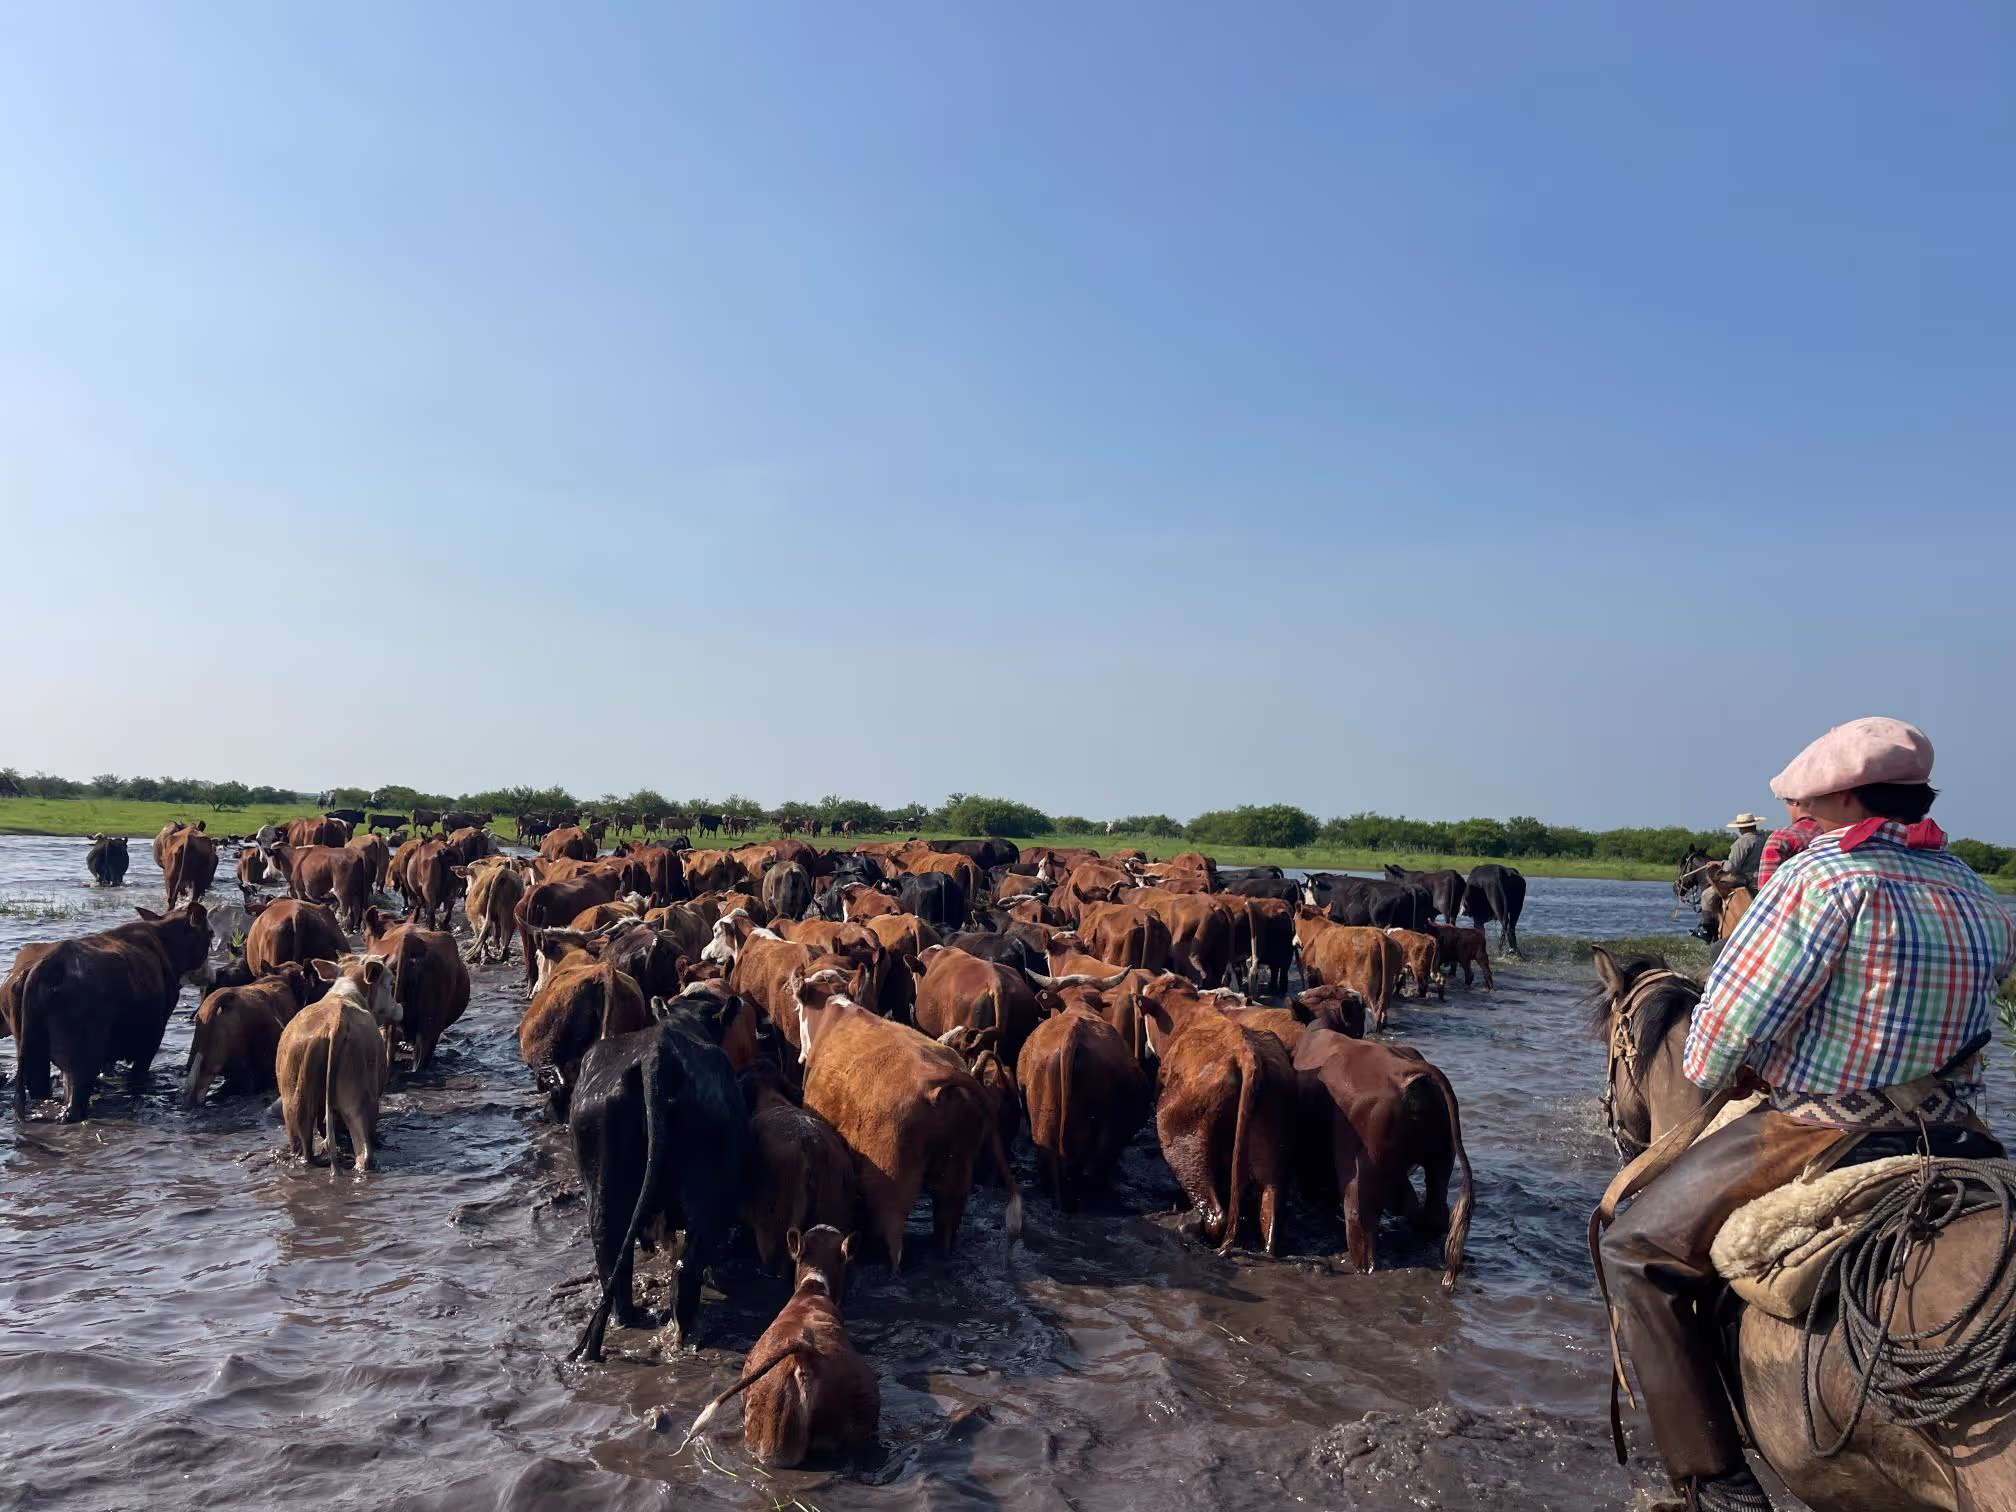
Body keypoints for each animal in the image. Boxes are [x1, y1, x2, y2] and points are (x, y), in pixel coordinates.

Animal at [9, 904, 215, 1121]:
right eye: (210, 933)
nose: (212, 975)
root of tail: (45, 965)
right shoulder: (152, 1037)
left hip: (35, 1055)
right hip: (80, 1062)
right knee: (74, 1105)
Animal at [276, 954, 398, 1169]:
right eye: (391, 983)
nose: (400, 1007)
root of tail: (335, 1024)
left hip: (294, 1103)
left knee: (305, 1150)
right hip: (362, 1101)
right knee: (364, 1151)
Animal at [566, 993, 750, 1362]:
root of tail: (658, 1054)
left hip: (604, 1185)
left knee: (610, 1251)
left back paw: (629, 1317)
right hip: (711, 1190)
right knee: (687, 1265)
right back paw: (687, 1332)